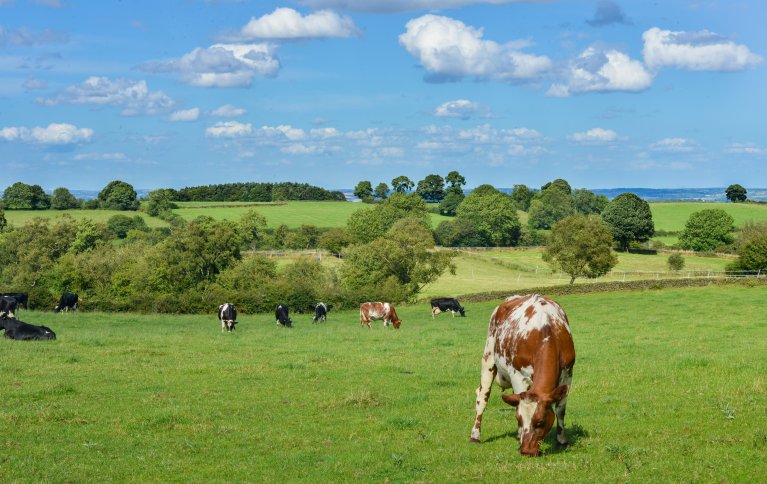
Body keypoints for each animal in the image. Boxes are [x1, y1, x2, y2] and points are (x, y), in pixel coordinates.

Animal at [468, 294, 576, 456]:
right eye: (519, 419)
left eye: (541, 422)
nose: (526, 451)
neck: (546, 329)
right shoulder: (517, 375)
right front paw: (520, 436)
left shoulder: (568, 374)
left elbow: (560, 410)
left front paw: (562, 441)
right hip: (488, 358)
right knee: (482, 397)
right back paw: (475, 435)